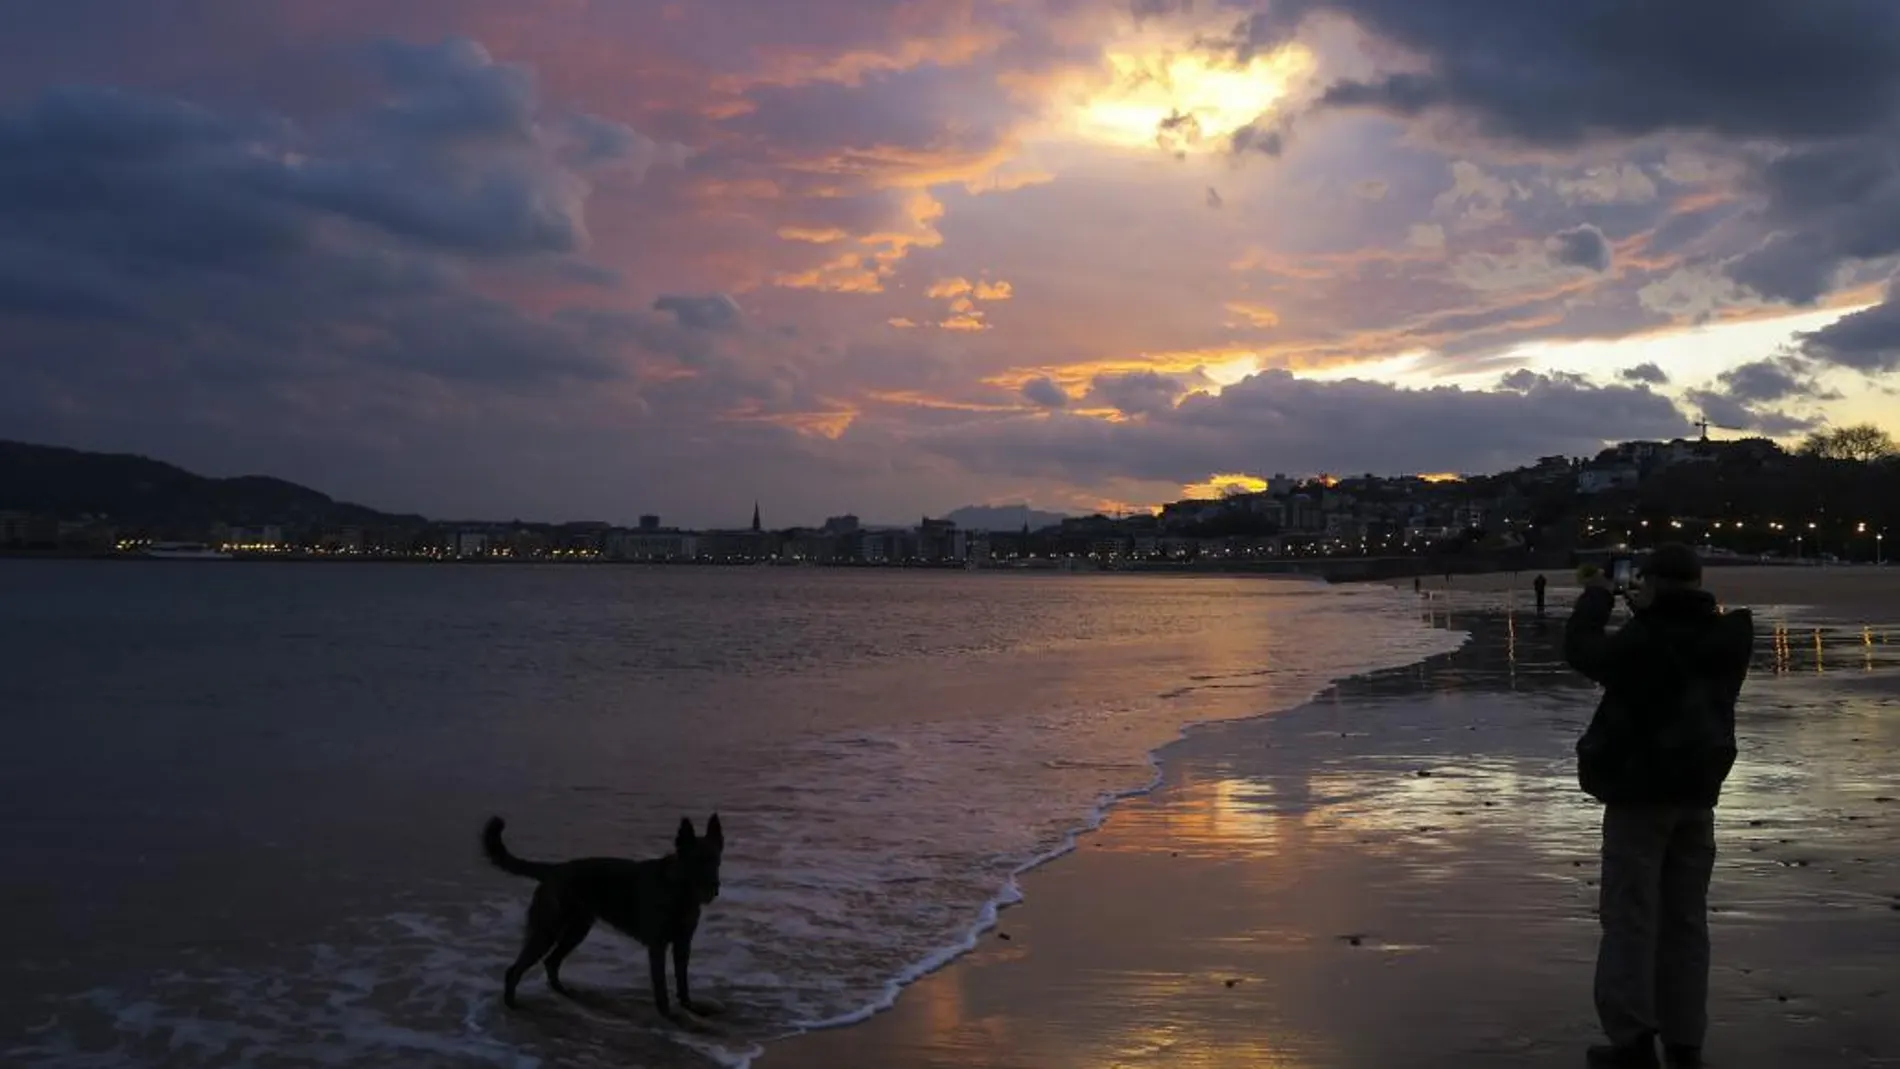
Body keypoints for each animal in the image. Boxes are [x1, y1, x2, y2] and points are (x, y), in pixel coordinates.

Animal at [482, 816, 725, 1025]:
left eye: (715, 860)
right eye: (696, 861)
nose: (714, 887)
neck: (678, 888)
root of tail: (553, 869)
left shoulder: (683, 945)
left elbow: (683, 981)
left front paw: (689, 1006)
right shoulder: (658, 947)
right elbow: (661, 985)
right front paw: (668, 1014)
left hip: (576, 931)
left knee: (551, 962)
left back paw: (562, 991)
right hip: (546, 933)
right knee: (514, 970)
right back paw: (511, 1005)